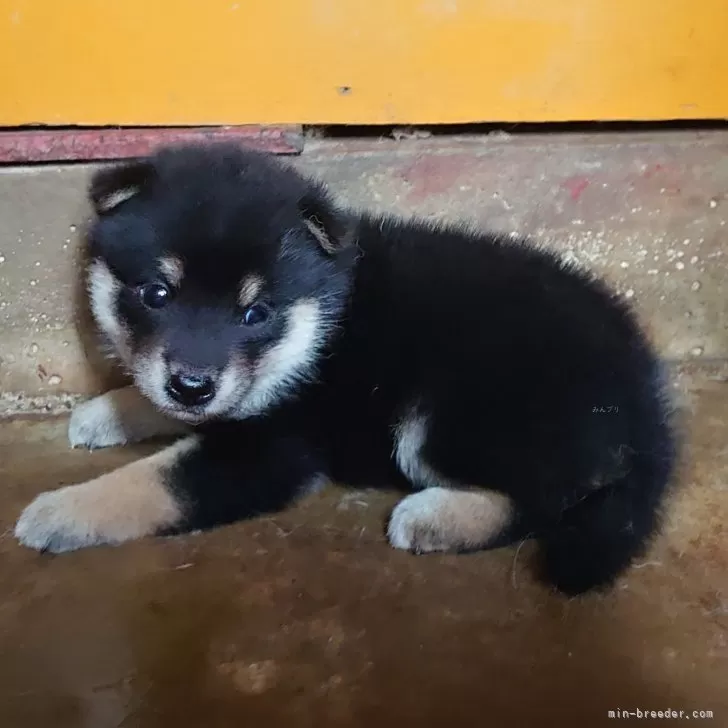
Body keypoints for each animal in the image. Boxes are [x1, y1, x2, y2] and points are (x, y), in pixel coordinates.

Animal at [15, 144, 676, 596]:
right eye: (156, 294)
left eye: (255, 313)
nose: (192, 385)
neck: (320, 324)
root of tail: (644, 400)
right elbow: (162, 403)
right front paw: (110, 409)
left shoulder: (271, 450)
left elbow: (152, 482)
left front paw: (61, 511)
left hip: (445, 417)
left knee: (548, 498)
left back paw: (435, 518)